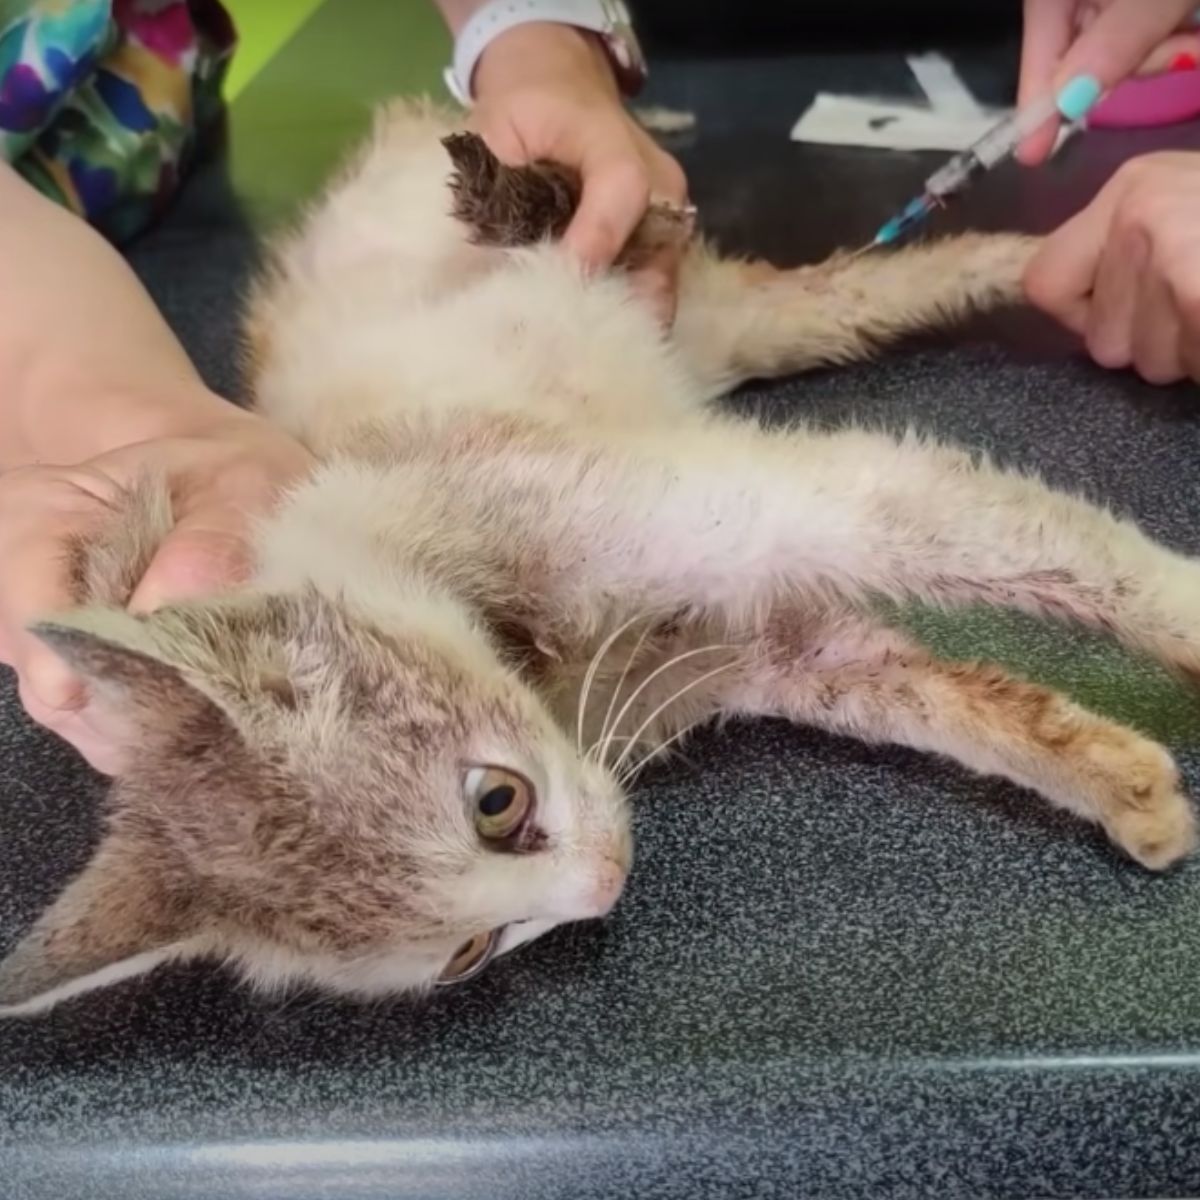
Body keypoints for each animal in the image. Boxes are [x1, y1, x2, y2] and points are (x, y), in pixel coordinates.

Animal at [4, 98, 1195, 1017]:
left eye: (496, 804)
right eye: (467, 952)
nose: (610, 884)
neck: (550, 665)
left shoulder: (773, 505)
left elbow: (1052, 555)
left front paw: (1182, 618)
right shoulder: (780, 648)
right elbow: (966, 702)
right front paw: (1128, 782)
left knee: (707, 234)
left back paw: (522, 193)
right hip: (749, 334)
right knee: (882, 284)